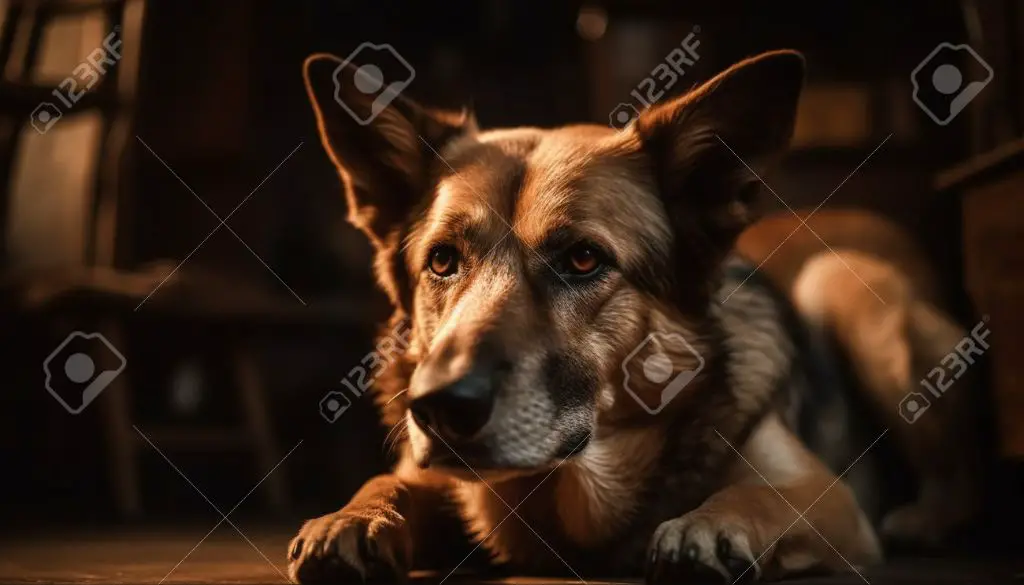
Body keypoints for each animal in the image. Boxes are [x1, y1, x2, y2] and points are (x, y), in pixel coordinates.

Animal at [286, 49, 974, 581]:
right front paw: (354, 515)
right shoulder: (429, 473)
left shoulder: (827, 498)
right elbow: (388, 483)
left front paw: (710, 523)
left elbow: (761, 495)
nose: (440, 407)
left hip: (845, 287)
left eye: (584, 259)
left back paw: (926, 520)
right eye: (443, 261)